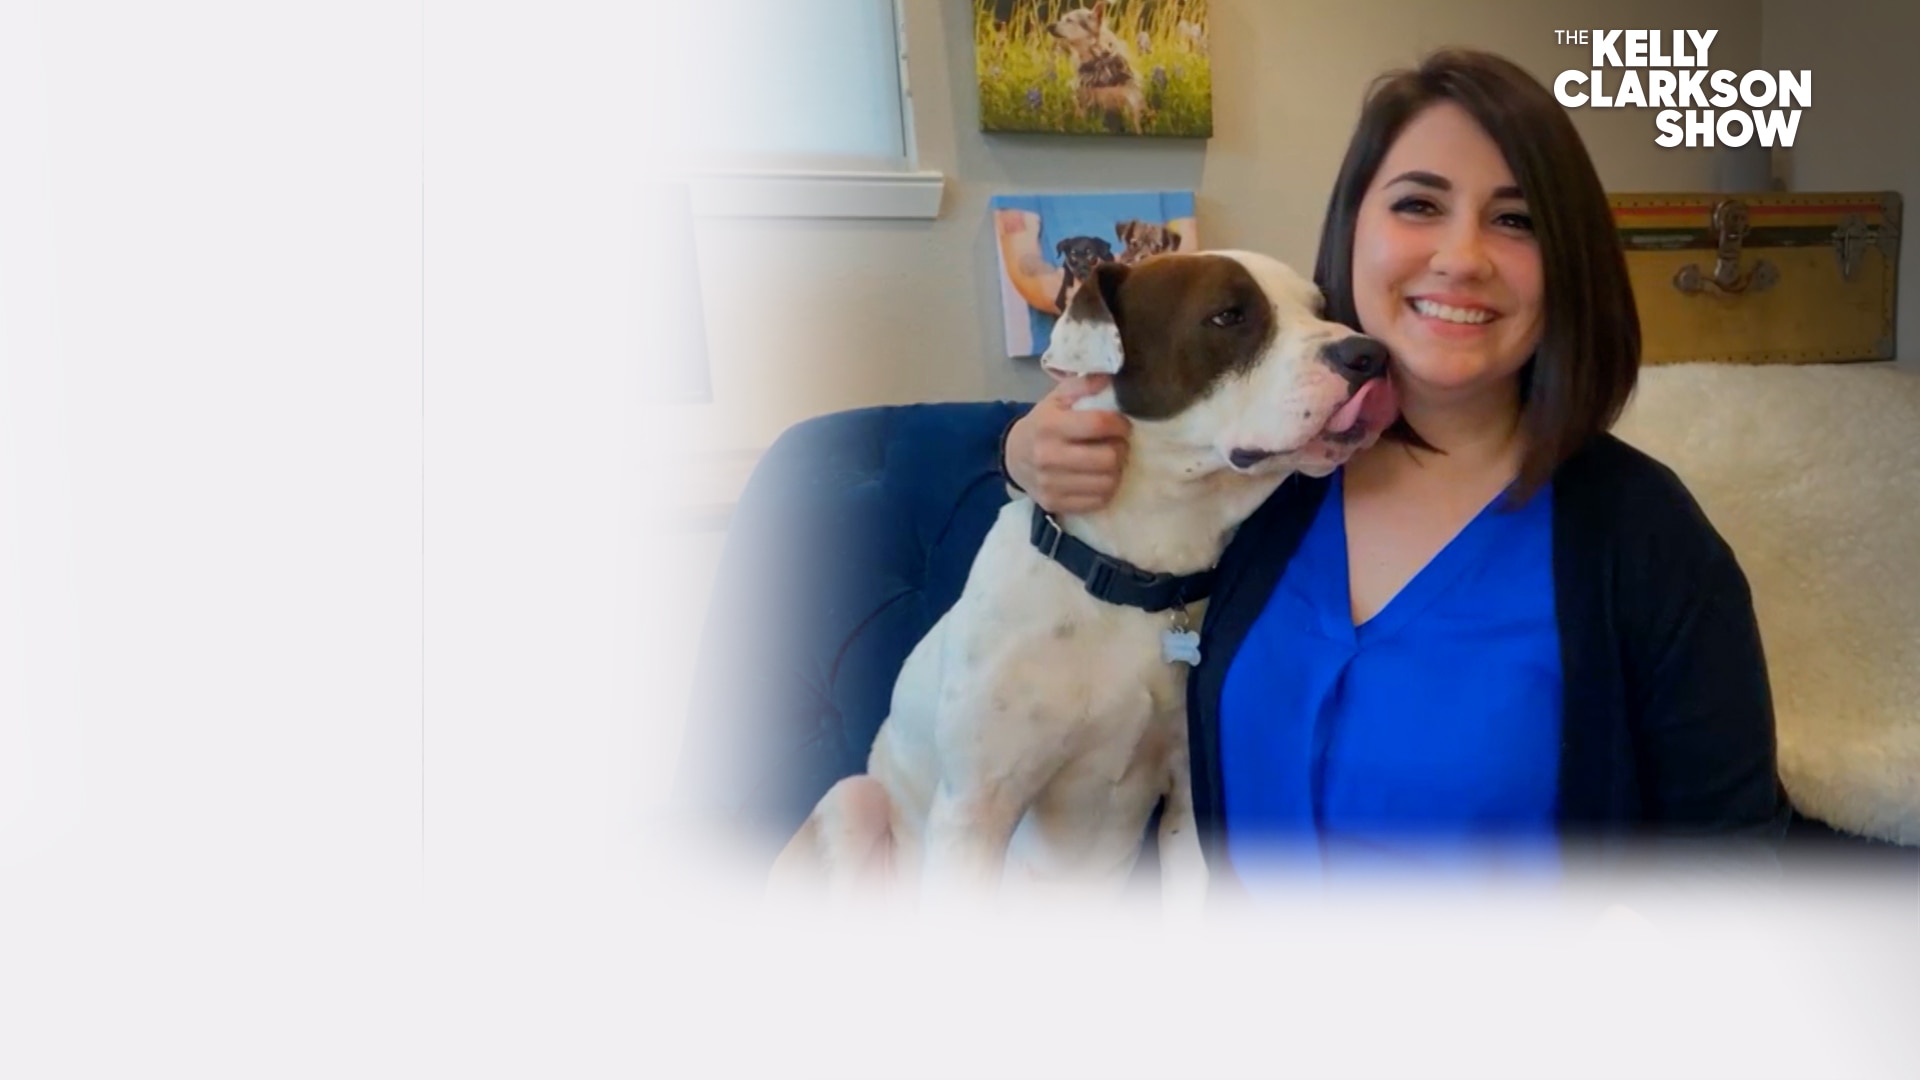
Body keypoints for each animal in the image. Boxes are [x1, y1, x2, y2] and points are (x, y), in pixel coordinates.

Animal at [767, 250, 1400, 913]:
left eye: (1321, 308)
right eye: (1228, 315)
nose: (1369, 354)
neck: (1134, 576)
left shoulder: (1188, 800)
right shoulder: (975, 811)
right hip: (851, 803)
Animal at [1047, 1, 1149, 134]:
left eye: (1069, 20)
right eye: (1062, 18)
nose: (1048, 26)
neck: (1097, 60)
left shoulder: (1130, 103)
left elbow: (1135, 126)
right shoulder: (1085, 103)